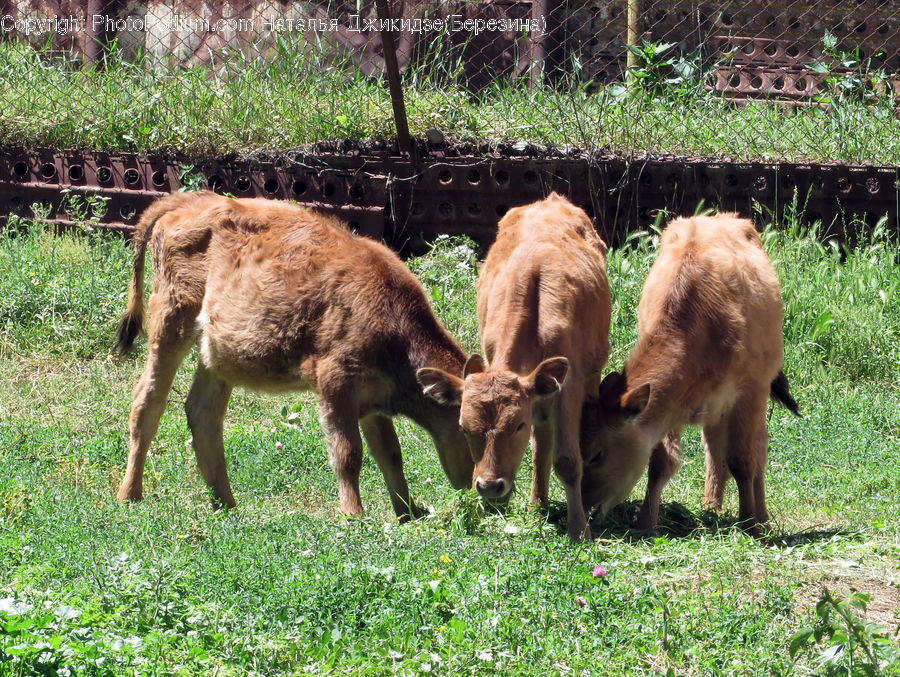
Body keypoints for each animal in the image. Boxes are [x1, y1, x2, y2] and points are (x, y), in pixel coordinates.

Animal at [115, 191, 474, 520]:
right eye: (469, 429)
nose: (484, 487)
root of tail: (189, 202)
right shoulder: (334, 382)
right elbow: (348, 453)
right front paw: (354, 515)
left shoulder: (371, 399)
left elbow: (389, 452)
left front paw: (408, 512)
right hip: (171, 323)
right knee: (147, 401)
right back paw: (130, 495)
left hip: (216, 353)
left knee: (203, 412)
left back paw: (226, 505)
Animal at [418, 193, 611, 542]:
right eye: (465, 429)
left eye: (517, 426)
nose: (489, 486)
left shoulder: (569, 386)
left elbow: (567, 459)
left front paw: (579, 529)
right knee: (541, 441)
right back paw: (537, 503)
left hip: (591, 371)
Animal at [579, 212, 799, 536]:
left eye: (597, 454)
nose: (582, 504)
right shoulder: (672, 404)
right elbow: (662, 460)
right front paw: (646, 523)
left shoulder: (748, 393)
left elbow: (743, 460)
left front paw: (750, 525)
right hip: (716, 410)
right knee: (715, 450)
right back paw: (711, 508)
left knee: (757, 448)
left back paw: (760, 516)